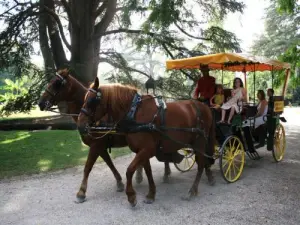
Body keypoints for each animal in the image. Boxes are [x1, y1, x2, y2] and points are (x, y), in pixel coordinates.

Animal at [38, 69, 171, 203]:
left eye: (56, 83)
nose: (40, 103)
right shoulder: (100, 146)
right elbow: (109, 163)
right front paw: (119, 182)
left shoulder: (96, 145)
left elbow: (88, 167)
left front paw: (81, 192)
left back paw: (165, 173)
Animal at [78, 76, 216, 207]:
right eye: (84, 99)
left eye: (91, 101)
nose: (80, 125)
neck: (134, 113)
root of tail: (205, 107)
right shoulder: (143, 150)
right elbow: (148, 171)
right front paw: (151, 194)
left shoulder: (146, 149)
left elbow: (129, 170)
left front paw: (131, 196)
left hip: (200, 142)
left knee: (201, 164)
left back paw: (192, 190)